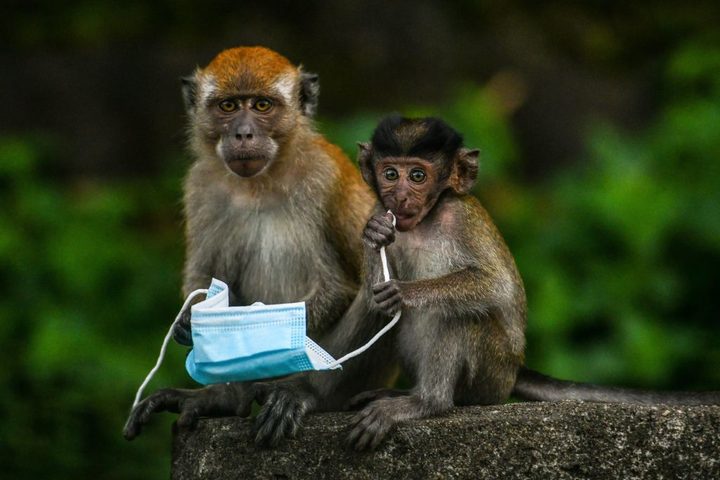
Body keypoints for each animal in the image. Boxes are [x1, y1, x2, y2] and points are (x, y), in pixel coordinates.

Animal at [122, 46, 375, 440]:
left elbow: (341, 287)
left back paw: (301, 393)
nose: (243, 133)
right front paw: (188, 325)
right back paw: (223, 397)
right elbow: (206, 274)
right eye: (228, 106)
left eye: (261, 105)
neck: (260, 182)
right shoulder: (201, 187)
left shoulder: (324, 177)